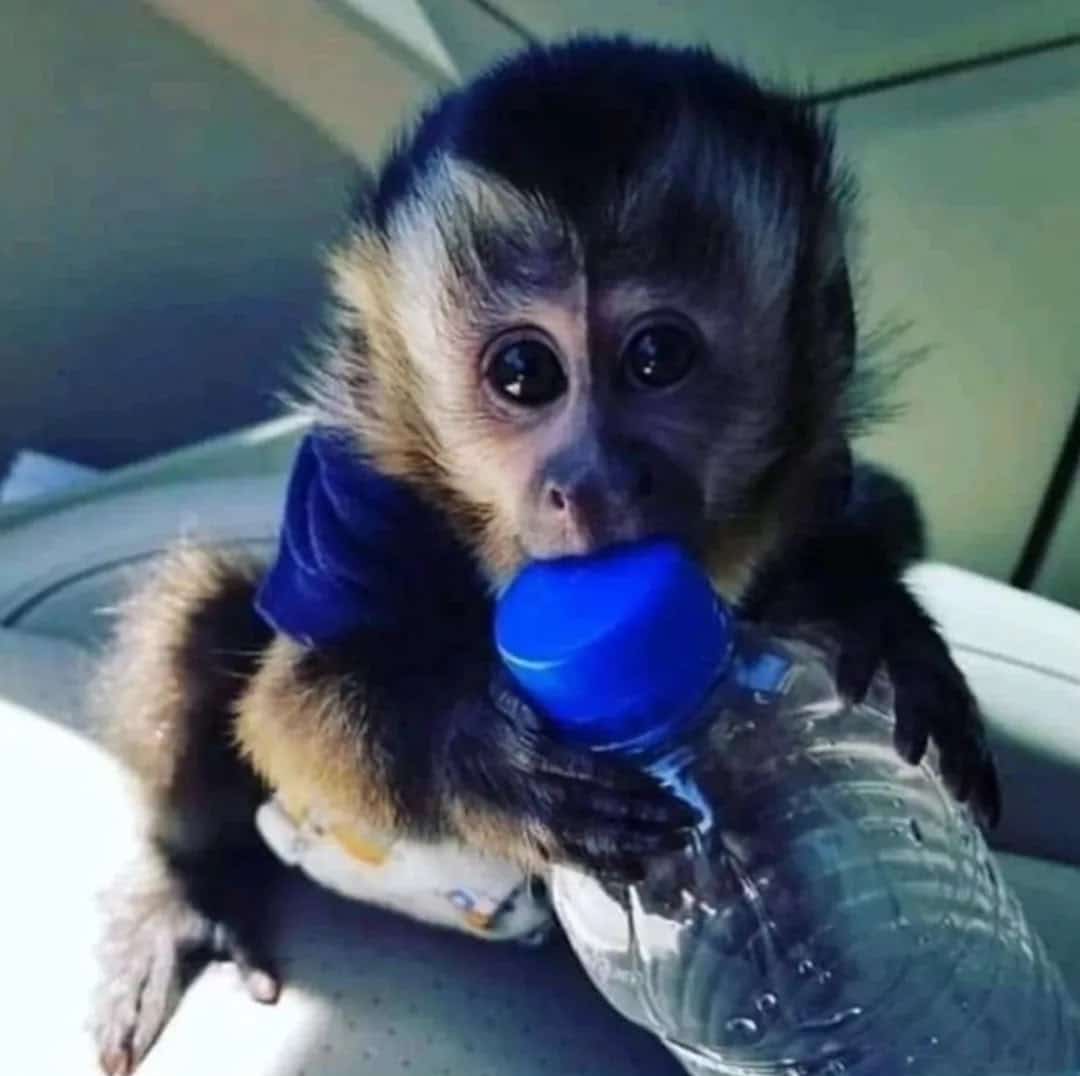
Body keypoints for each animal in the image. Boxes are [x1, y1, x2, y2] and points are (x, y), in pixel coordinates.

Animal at [90, 37, 1000, 1075]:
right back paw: (190, 889)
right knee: (204, 618)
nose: (595, 479)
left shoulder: (816, 465)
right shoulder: (350, 500)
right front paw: (485, 760)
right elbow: (287, 708)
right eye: (524, 373)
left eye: (657, 357)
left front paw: (872, 618)